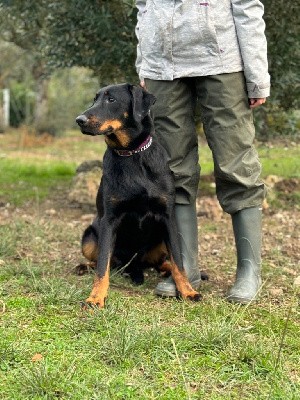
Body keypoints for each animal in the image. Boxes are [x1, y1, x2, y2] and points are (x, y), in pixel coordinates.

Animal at [75, 84, 202, 308]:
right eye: (95, 99)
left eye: (111, 100)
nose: (79, 120)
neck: (132, 154)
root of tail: (134, 265)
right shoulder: (109, 220)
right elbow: (102, 266)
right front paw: (96, 297)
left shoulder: (167, 217)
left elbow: (179, 262)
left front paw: (187, 290)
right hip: (89, 237)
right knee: (103, 260)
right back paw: (85, 266)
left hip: (160, 238)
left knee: (161, 263)